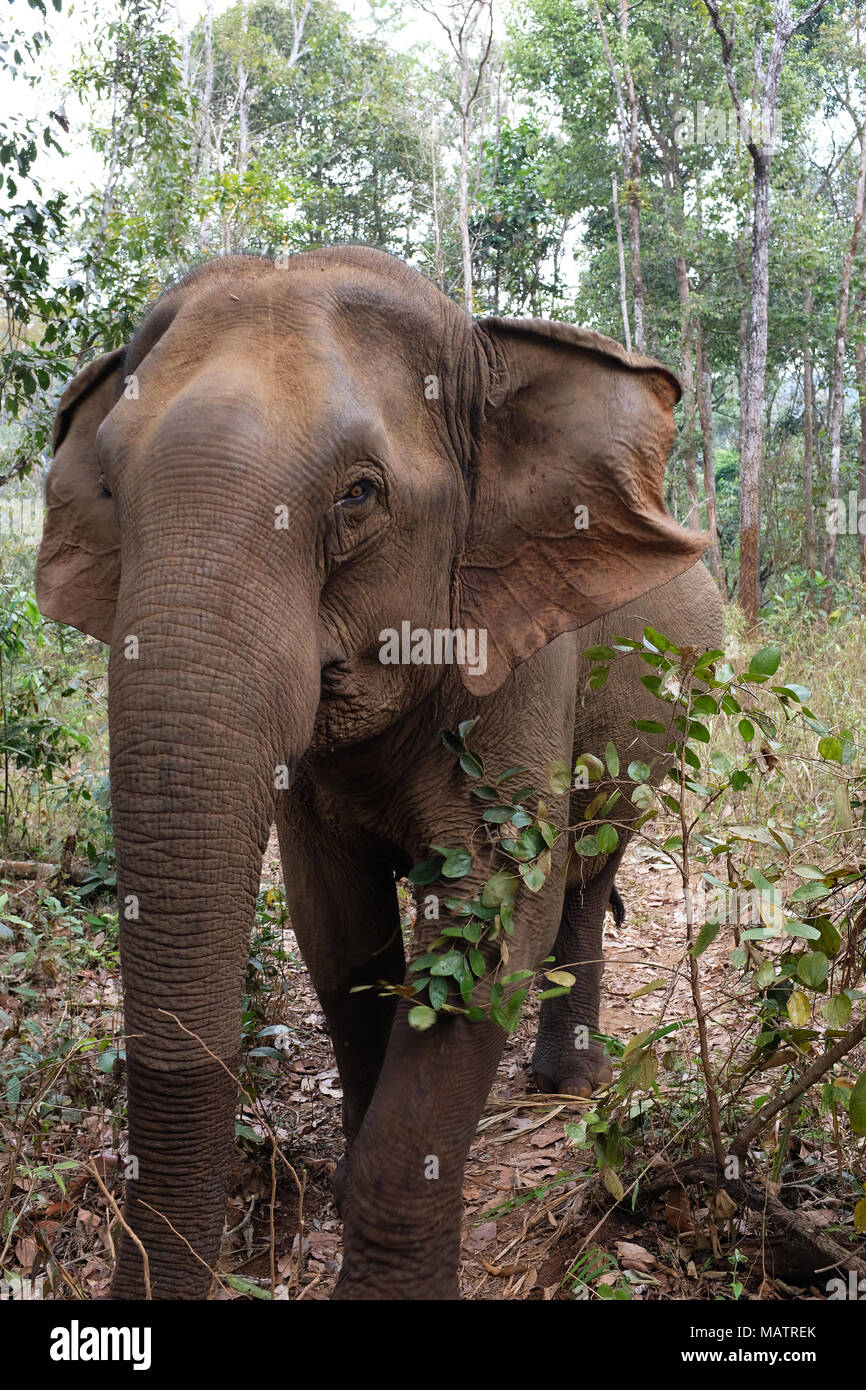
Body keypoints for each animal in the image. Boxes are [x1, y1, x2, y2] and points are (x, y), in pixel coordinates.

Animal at [35, 244, 722, 1295]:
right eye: (108, 487)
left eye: (358, 493)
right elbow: (338, 931)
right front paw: (347, 1171)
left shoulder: (519, 656)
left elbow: (494, 917)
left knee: (584, 871)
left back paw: (566, 1084)